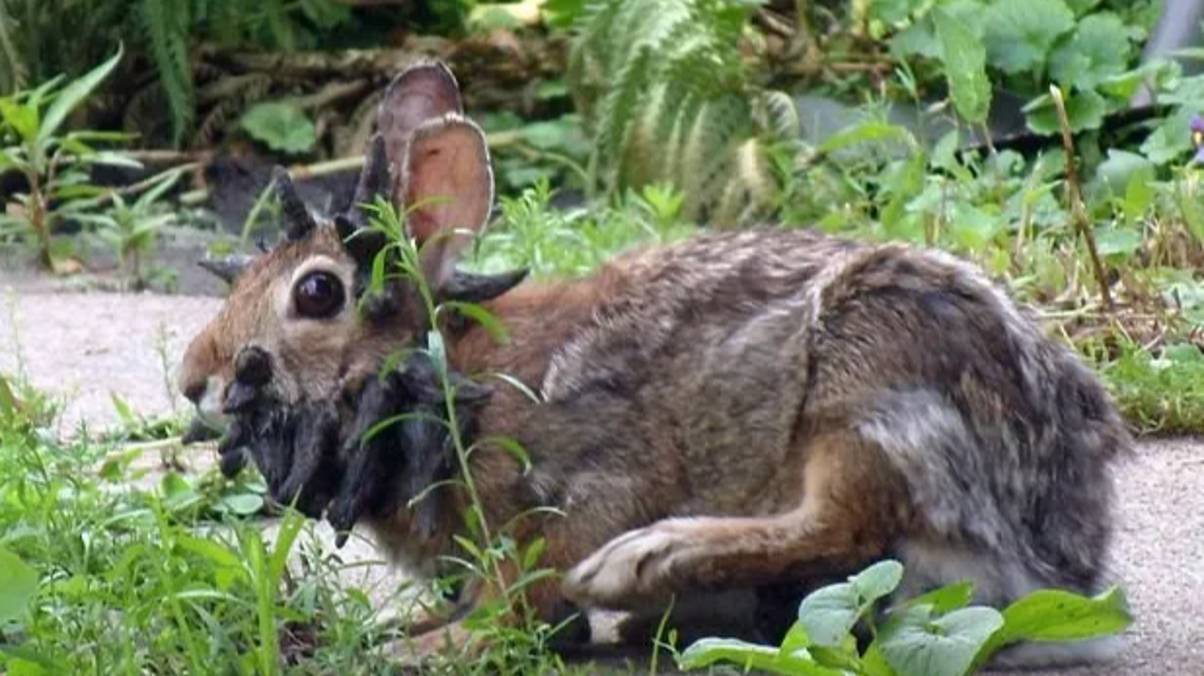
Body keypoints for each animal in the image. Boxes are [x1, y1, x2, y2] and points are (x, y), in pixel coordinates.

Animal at [177, 60, 1131, 666]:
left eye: (316, 295)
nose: (195, 379)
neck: (449, 371)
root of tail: (1062, 548)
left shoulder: (577, 488)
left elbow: (527, 595)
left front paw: (439, 647)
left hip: (866, 381)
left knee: (842, 525)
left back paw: (647, 564)